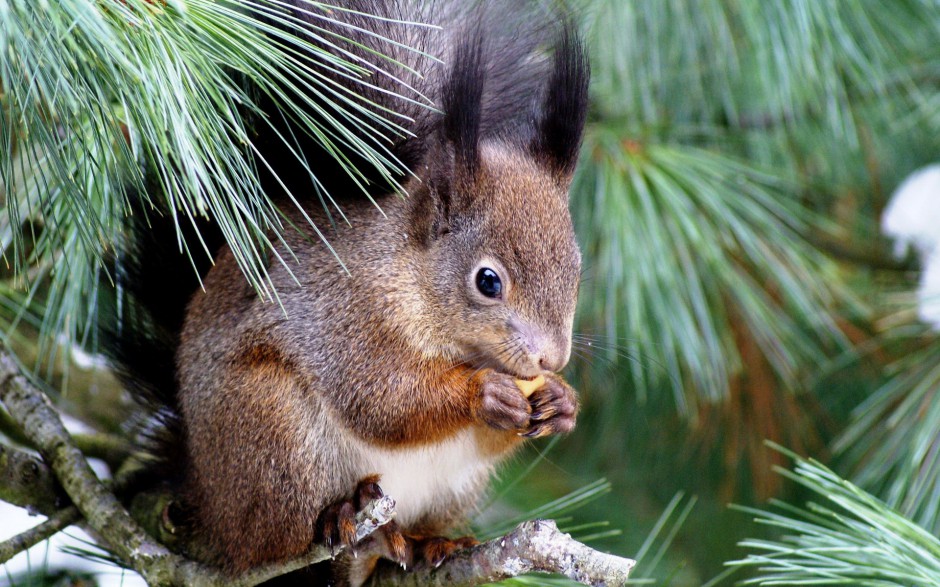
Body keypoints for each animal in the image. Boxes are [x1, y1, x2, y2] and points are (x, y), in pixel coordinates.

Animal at [103, 2, 588, 584]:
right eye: (487, 281)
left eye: (577, 271)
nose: (551, 357)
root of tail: (204, 495)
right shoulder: (346, 314)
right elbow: (381, 399)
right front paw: (484, 392)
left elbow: (485, 436)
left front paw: (561, 402)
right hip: (272, 431)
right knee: (275, 541)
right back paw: (346, 525)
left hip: (452, 488)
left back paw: (431, 542)